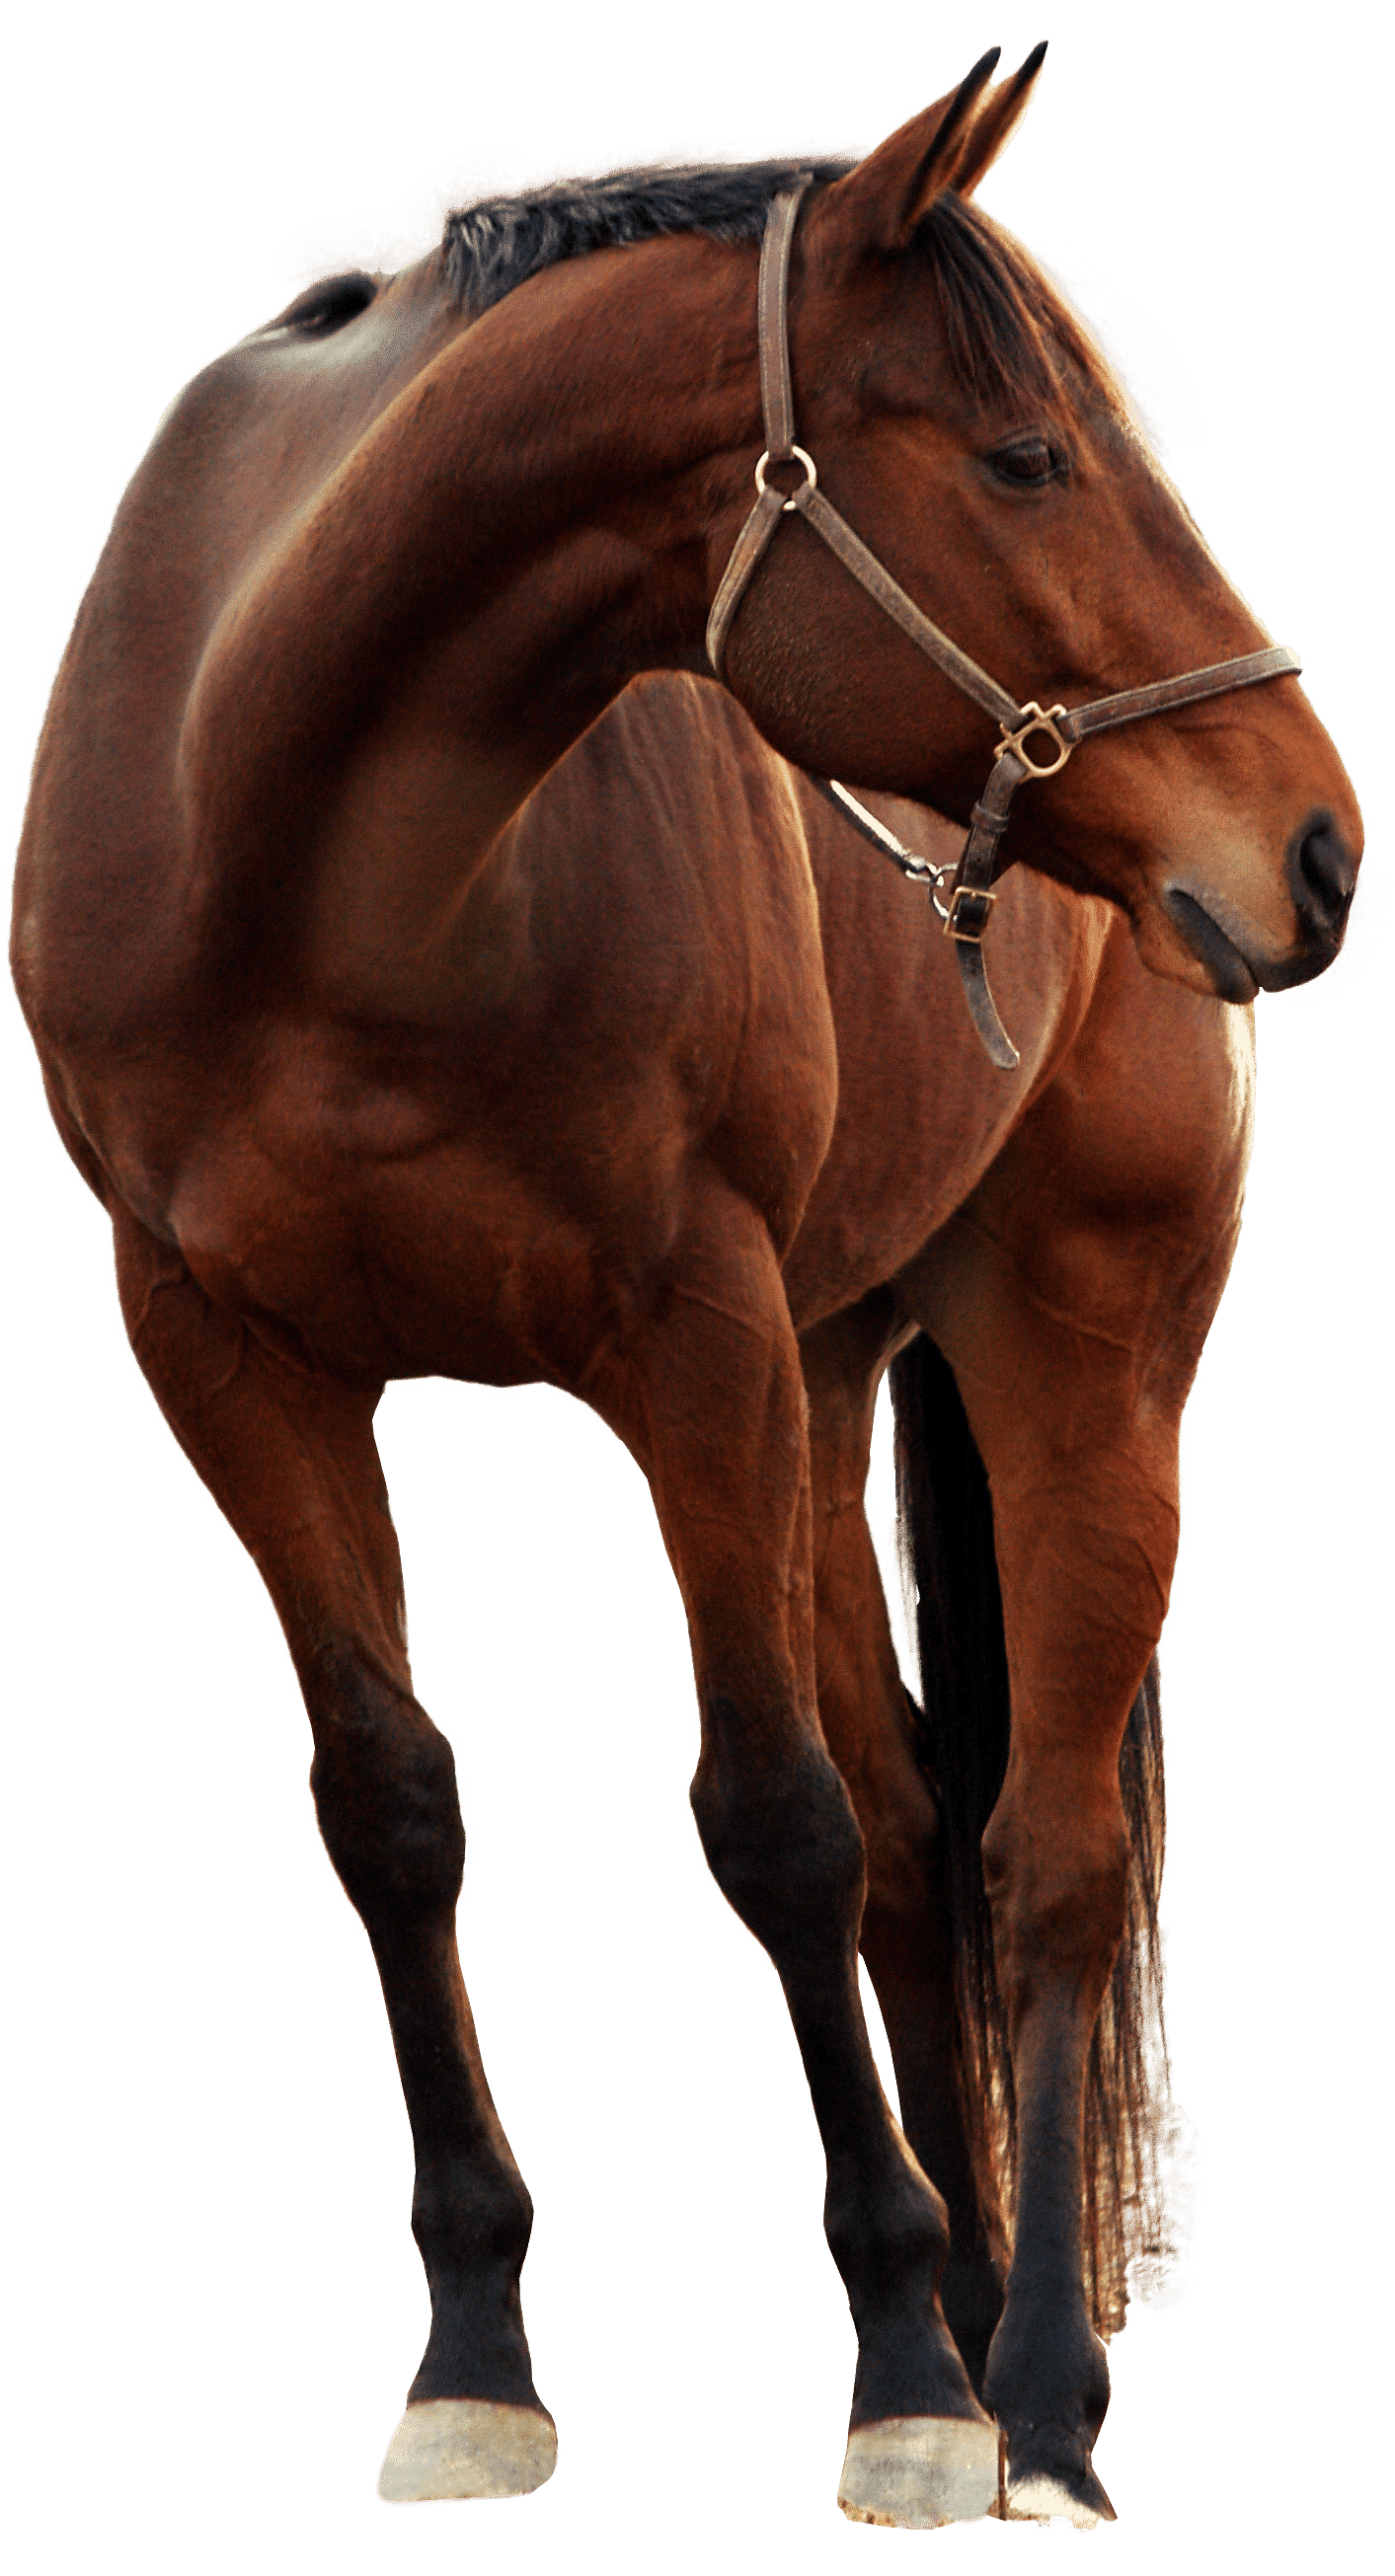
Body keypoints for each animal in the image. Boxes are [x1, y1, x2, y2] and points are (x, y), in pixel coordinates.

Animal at [7, 41, 1363, 2536]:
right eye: (1022, 455)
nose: (1315, 850)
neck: (310, 847)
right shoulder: (230, 1358)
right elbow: (397, 1810)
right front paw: (476, 2359)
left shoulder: (686, 1343)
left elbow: (772, 1824)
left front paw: (900, 2379)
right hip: (824, 1383)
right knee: (927, 1840)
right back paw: (981, 2319)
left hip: (1074, 1352)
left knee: (1037, 1853)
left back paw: (1029, 2393)